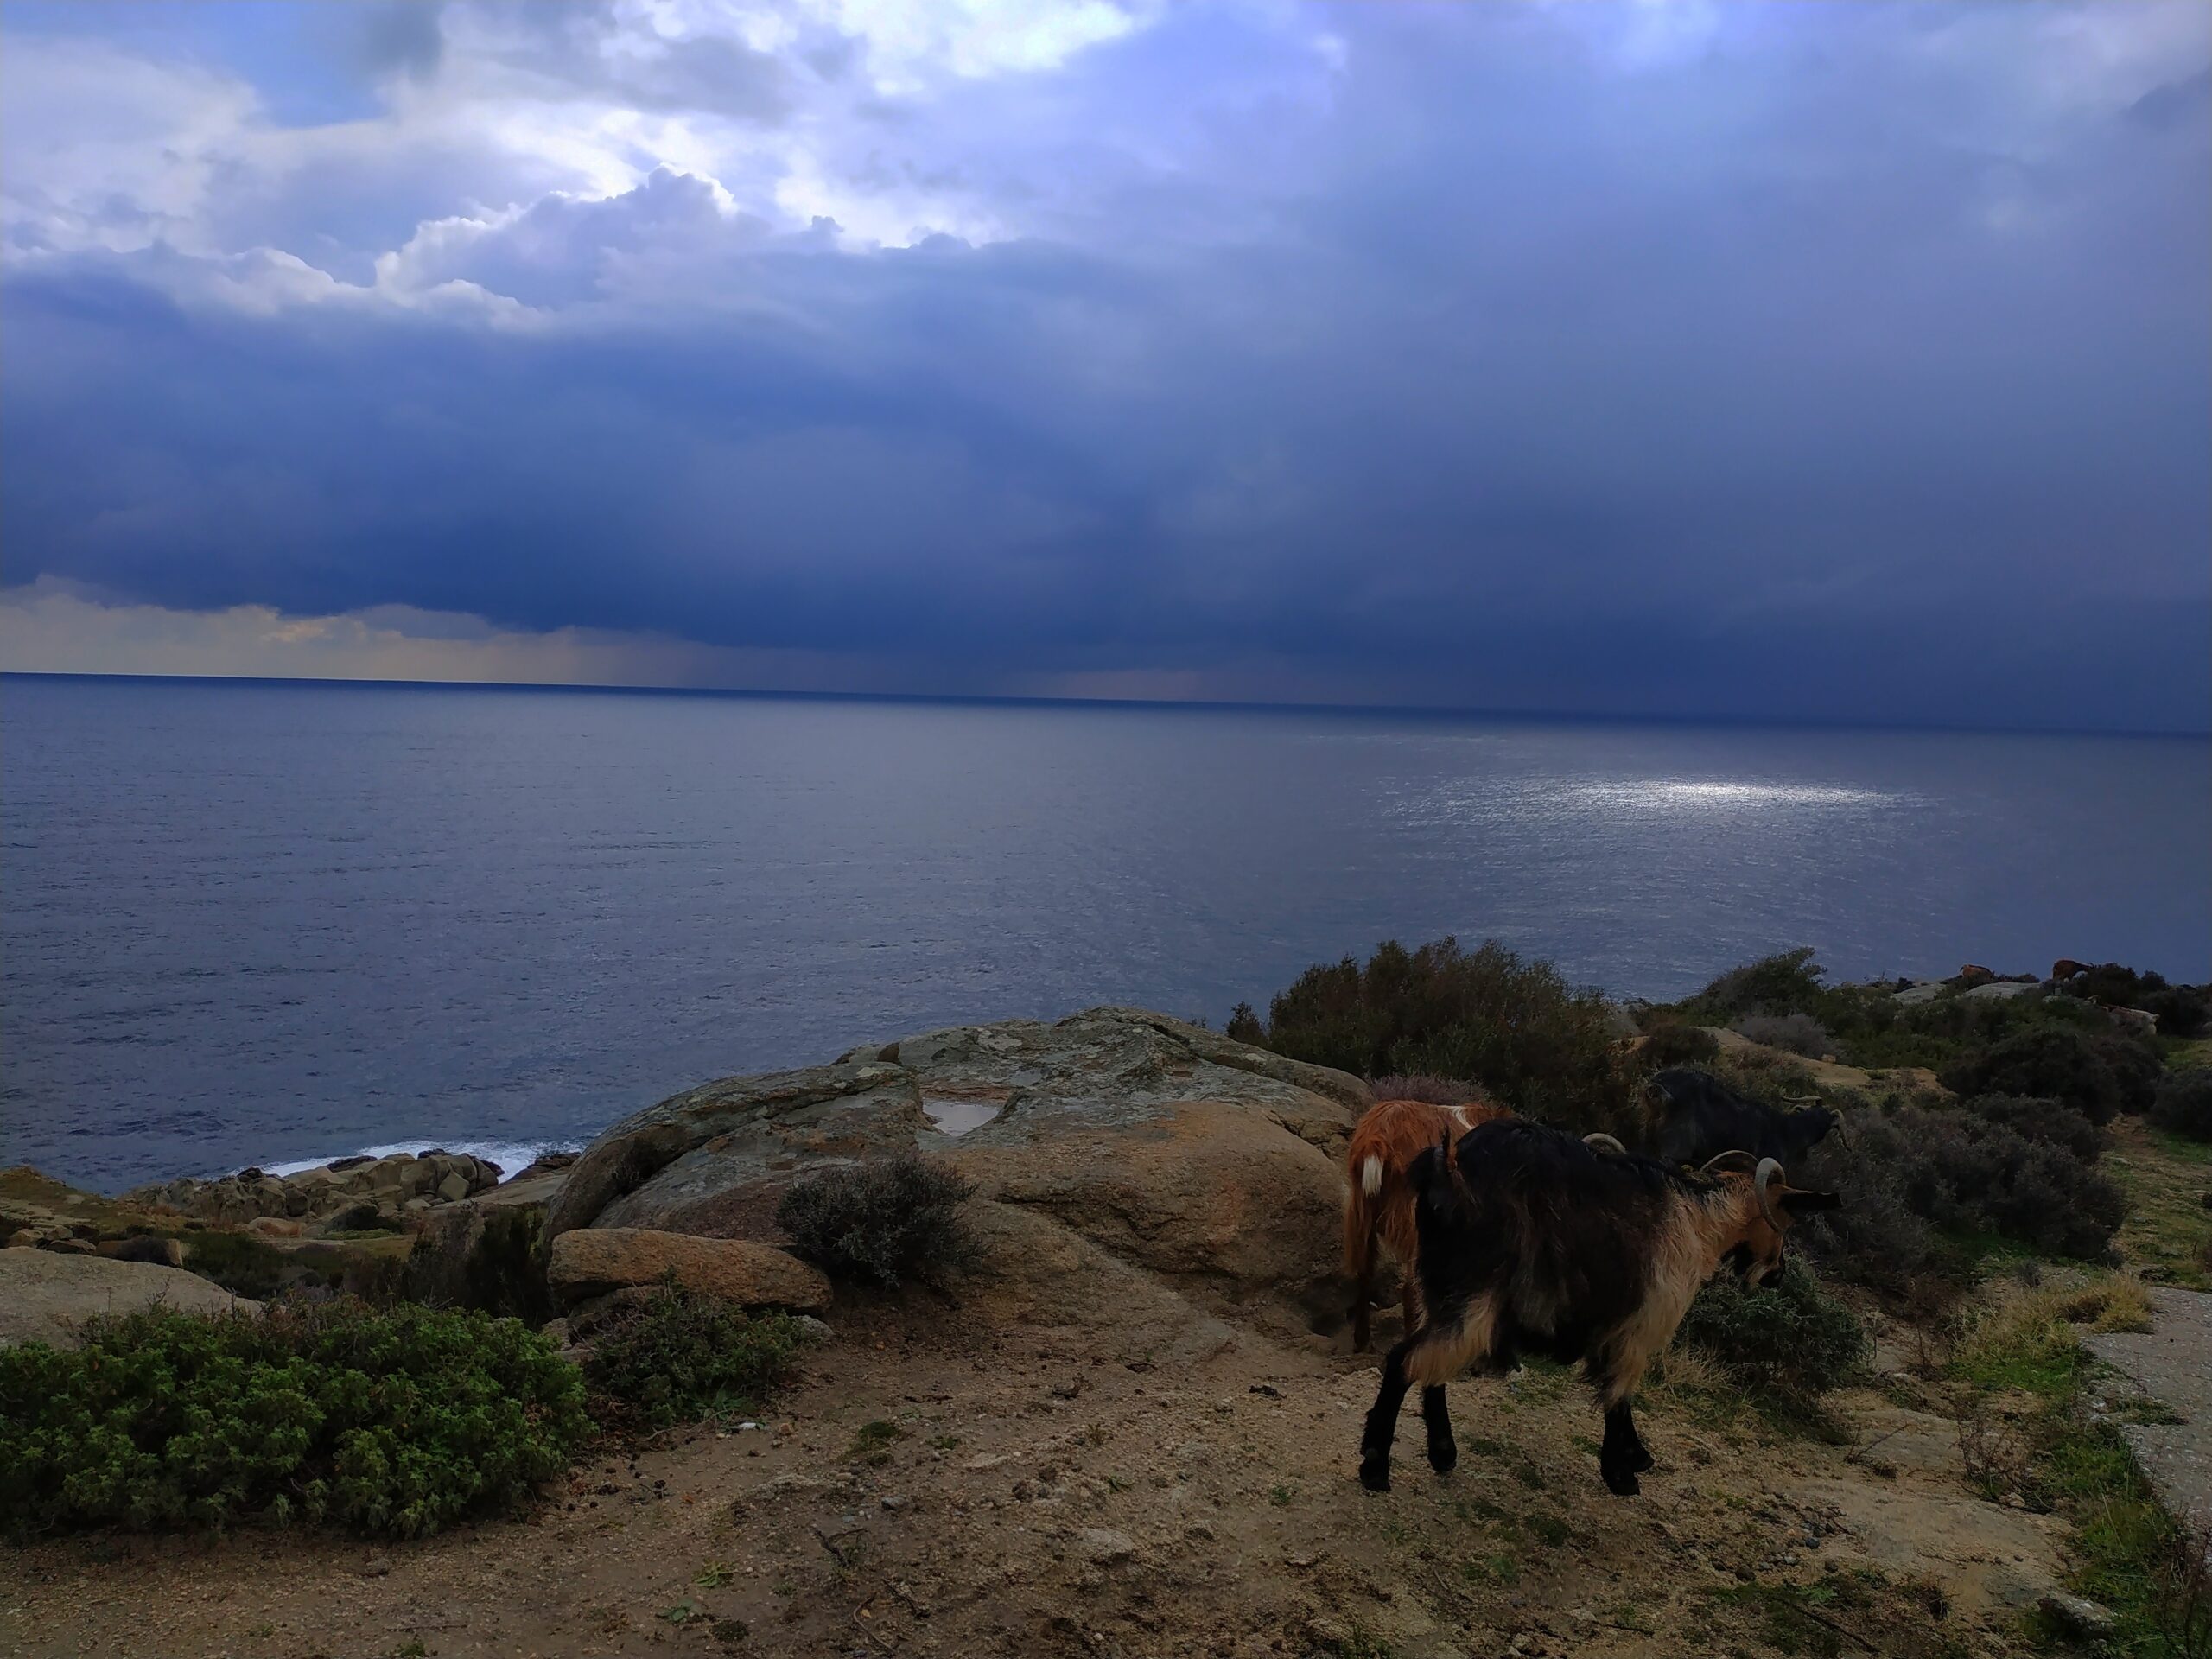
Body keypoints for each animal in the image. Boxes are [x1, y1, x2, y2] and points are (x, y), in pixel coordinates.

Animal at [1353, 1123, 1840, 1503]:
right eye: (1785, 1221)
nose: (1779, 1275)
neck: (1699, 1218)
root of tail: (1449, 1172)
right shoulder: (1639, 1329)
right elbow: (1618, 1398)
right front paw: (1621, 1474)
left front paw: (1637, 1457)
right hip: (1473, 1303)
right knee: (1406, 1361)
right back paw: (1376, 1467)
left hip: (1431, 1288)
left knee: (1427, 1368)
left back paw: (1442, 1452)